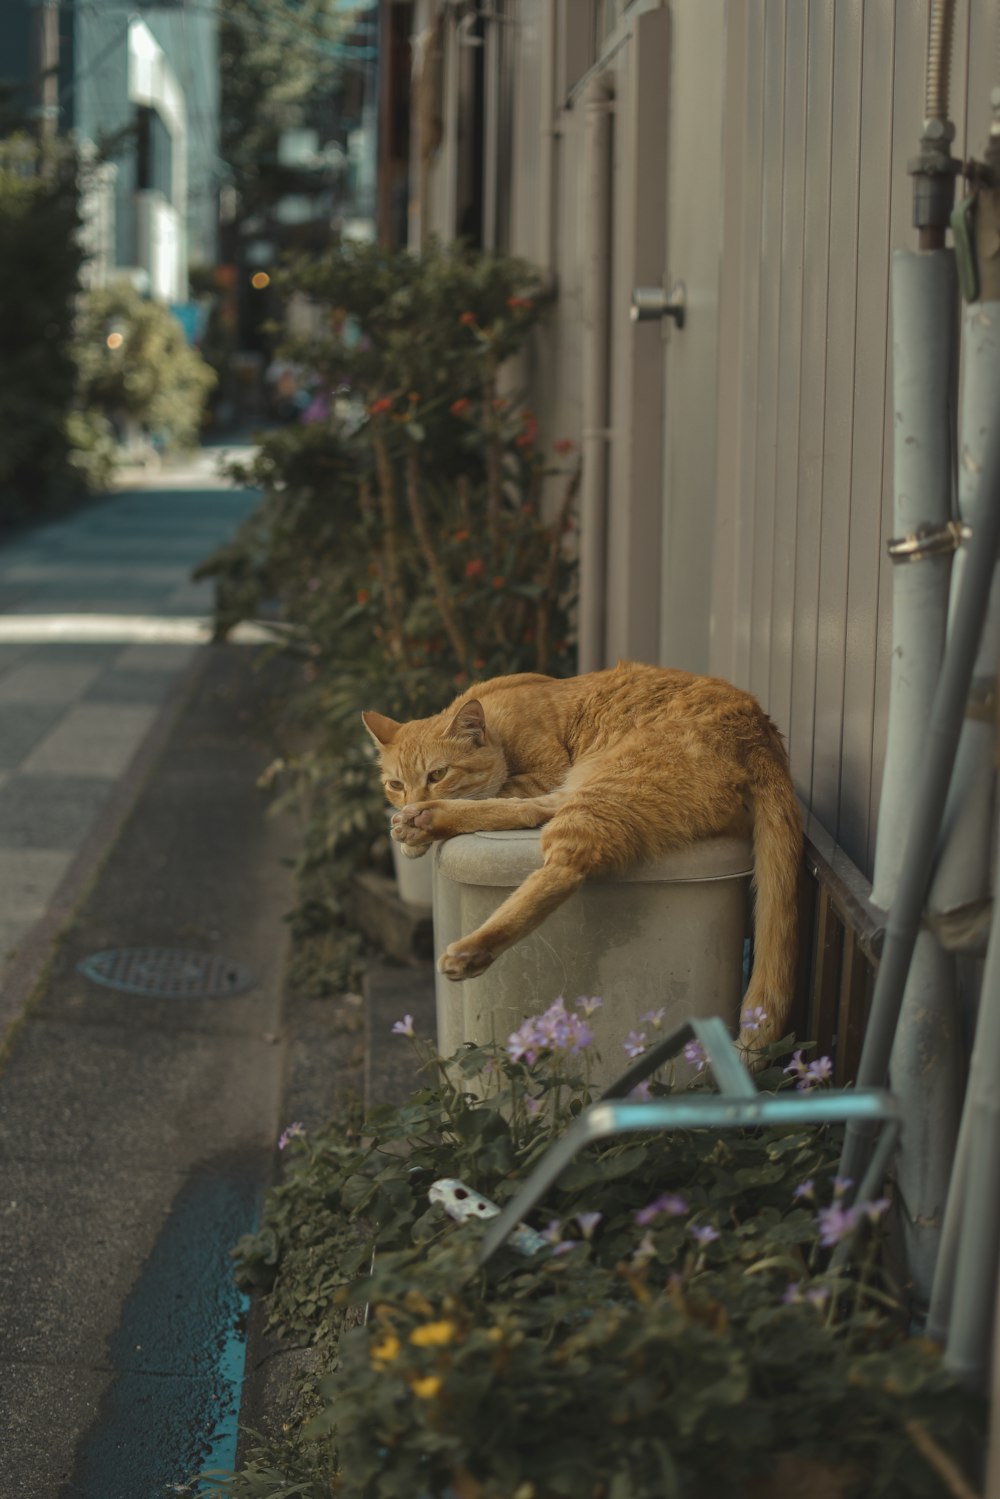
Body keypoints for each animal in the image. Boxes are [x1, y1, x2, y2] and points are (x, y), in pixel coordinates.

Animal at [364, 662, 803, 1049]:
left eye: (438, 774)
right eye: (395, 784)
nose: (411, 800)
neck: (497, 721)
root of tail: (759, 729)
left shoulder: (545, 771)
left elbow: (497, 791)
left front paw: (414, 829)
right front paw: (411, 826)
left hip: (606, 786)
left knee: (566, 863)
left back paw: (472, 945)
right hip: (592, 782)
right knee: (536, 812)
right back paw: (427, 821)